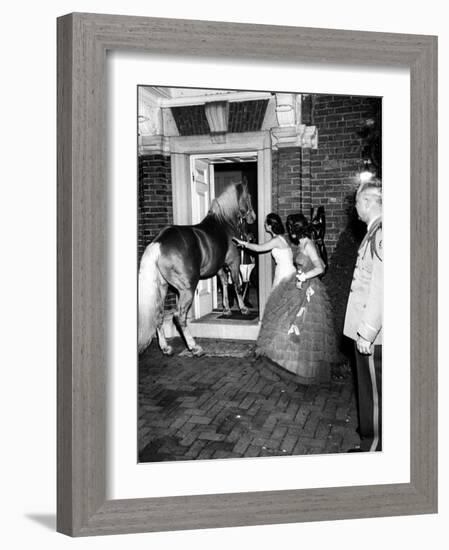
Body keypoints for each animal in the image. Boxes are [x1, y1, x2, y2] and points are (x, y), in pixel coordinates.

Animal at [136, 183, 256, 358]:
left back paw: (166, 348)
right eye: (249, 197)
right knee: (179, 317)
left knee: (158, 315)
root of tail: (158, 243)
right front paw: (243, 309)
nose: (253, 217)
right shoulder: (234, 262)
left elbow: (224, 284)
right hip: (187, 289)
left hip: (162, 287)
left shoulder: (219, 267)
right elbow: (237, 285)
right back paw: (194, 347)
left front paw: (226, 309)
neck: (224, 223)